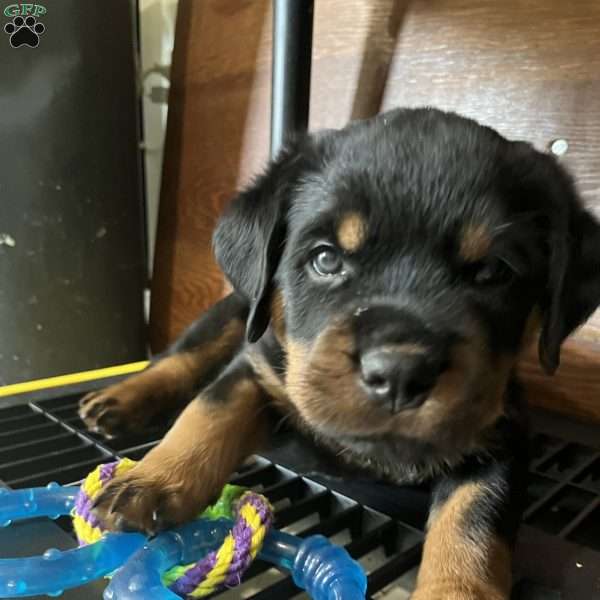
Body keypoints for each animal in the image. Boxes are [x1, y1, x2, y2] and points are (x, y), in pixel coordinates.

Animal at [79, 109, 600, 600]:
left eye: (493, 272)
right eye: (326, 259)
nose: (400, 372)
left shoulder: (498, 429)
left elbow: (472, 522)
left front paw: (454, 589)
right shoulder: (259, 366)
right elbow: (209, 414)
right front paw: (153, 480)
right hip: (234, 311)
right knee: (182, 358)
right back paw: (117, 400)